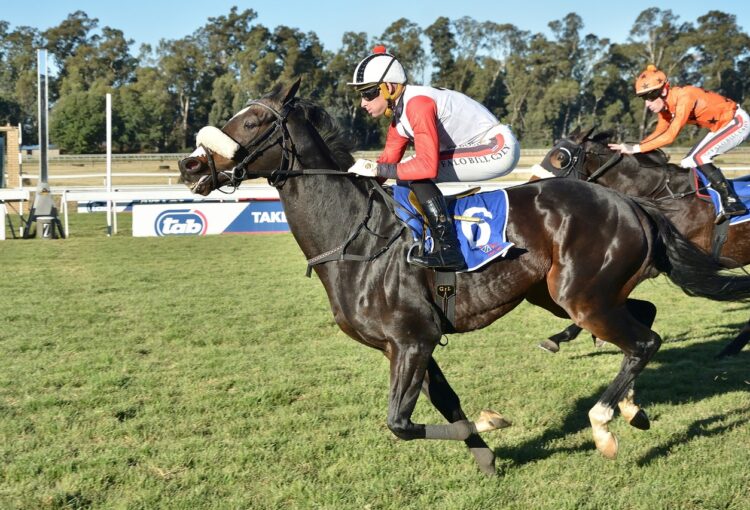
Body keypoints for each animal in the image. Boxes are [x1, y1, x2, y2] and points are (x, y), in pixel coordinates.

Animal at [536, 126, 750, 358]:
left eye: (560, 158)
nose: (535, 183)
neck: (664, 197)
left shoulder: (655, 263)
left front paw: (559, 338)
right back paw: (731, 348)